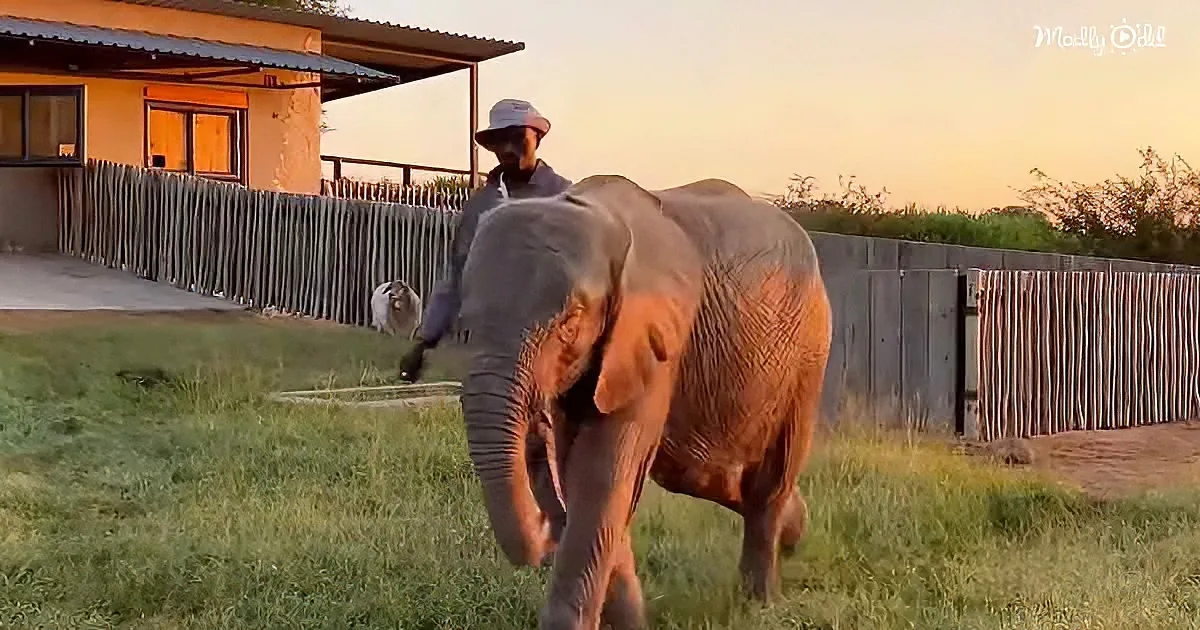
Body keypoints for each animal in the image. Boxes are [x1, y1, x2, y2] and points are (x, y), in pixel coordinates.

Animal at [457, 174, 833, 630]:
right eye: (465, 325)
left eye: (569, 324)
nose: (536, 426)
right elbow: (588, 477)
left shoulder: (654, 344)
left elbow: (602, 474)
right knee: (718, 478)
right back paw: (794, 533)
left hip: (808, 356)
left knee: (769, 482)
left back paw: (760, 604)